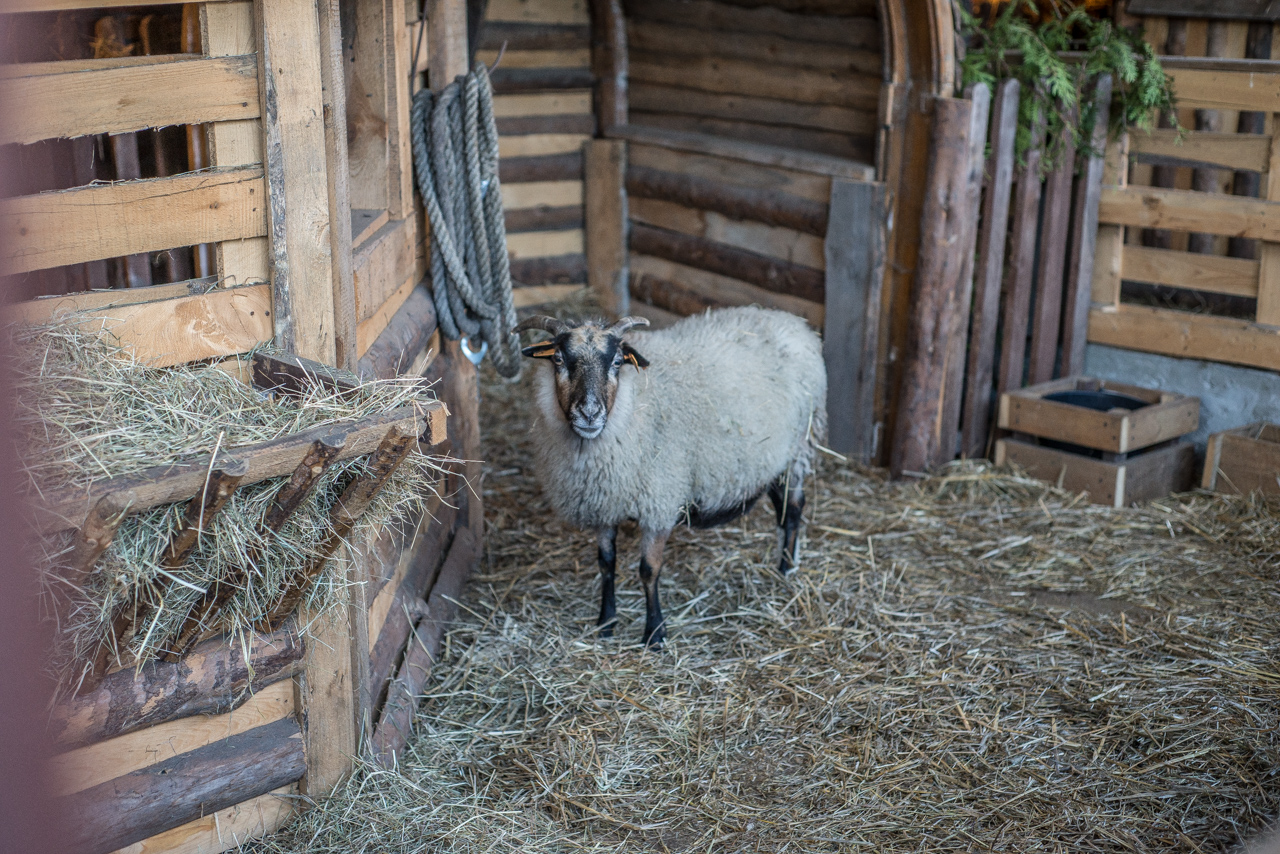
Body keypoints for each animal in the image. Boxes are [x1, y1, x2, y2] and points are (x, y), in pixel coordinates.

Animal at [513, 306, 828, 648]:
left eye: (617, 362)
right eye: (558, 359)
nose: (589, 414)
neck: (632, 407)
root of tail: (794, 322)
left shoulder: (659, 503)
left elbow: (649, 570)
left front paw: (655, 632)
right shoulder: (605, 503)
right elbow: (606, 564)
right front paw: (606, 622)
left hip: (797, 449)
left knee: (794, 507)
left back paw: (786, 568)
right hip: (773, 459)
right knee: (782, 507)